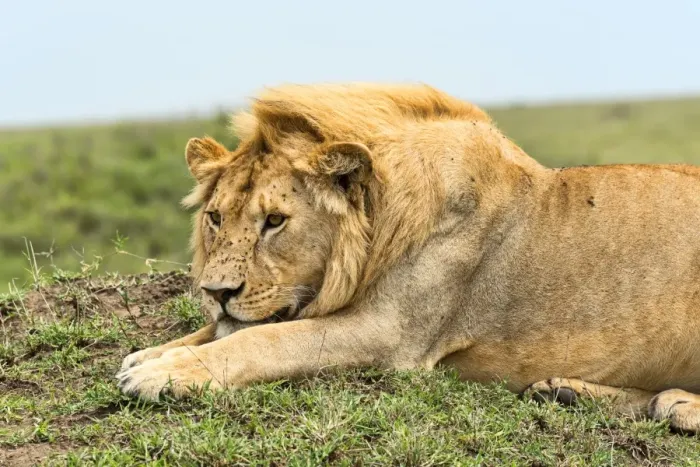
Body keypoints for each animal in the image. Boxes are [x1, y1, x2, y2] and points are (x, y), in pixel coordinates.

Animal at [117, 83, 700, 433]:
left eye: (275, 221)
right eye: (216, 218)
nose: (216, 292)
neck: (381, 217)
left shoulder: (390, 334)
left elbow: (266, 339)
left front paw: (162, 374)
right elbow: (216, 332)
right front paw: (150, 356)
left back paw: (678, 405)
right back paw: (567, 392)